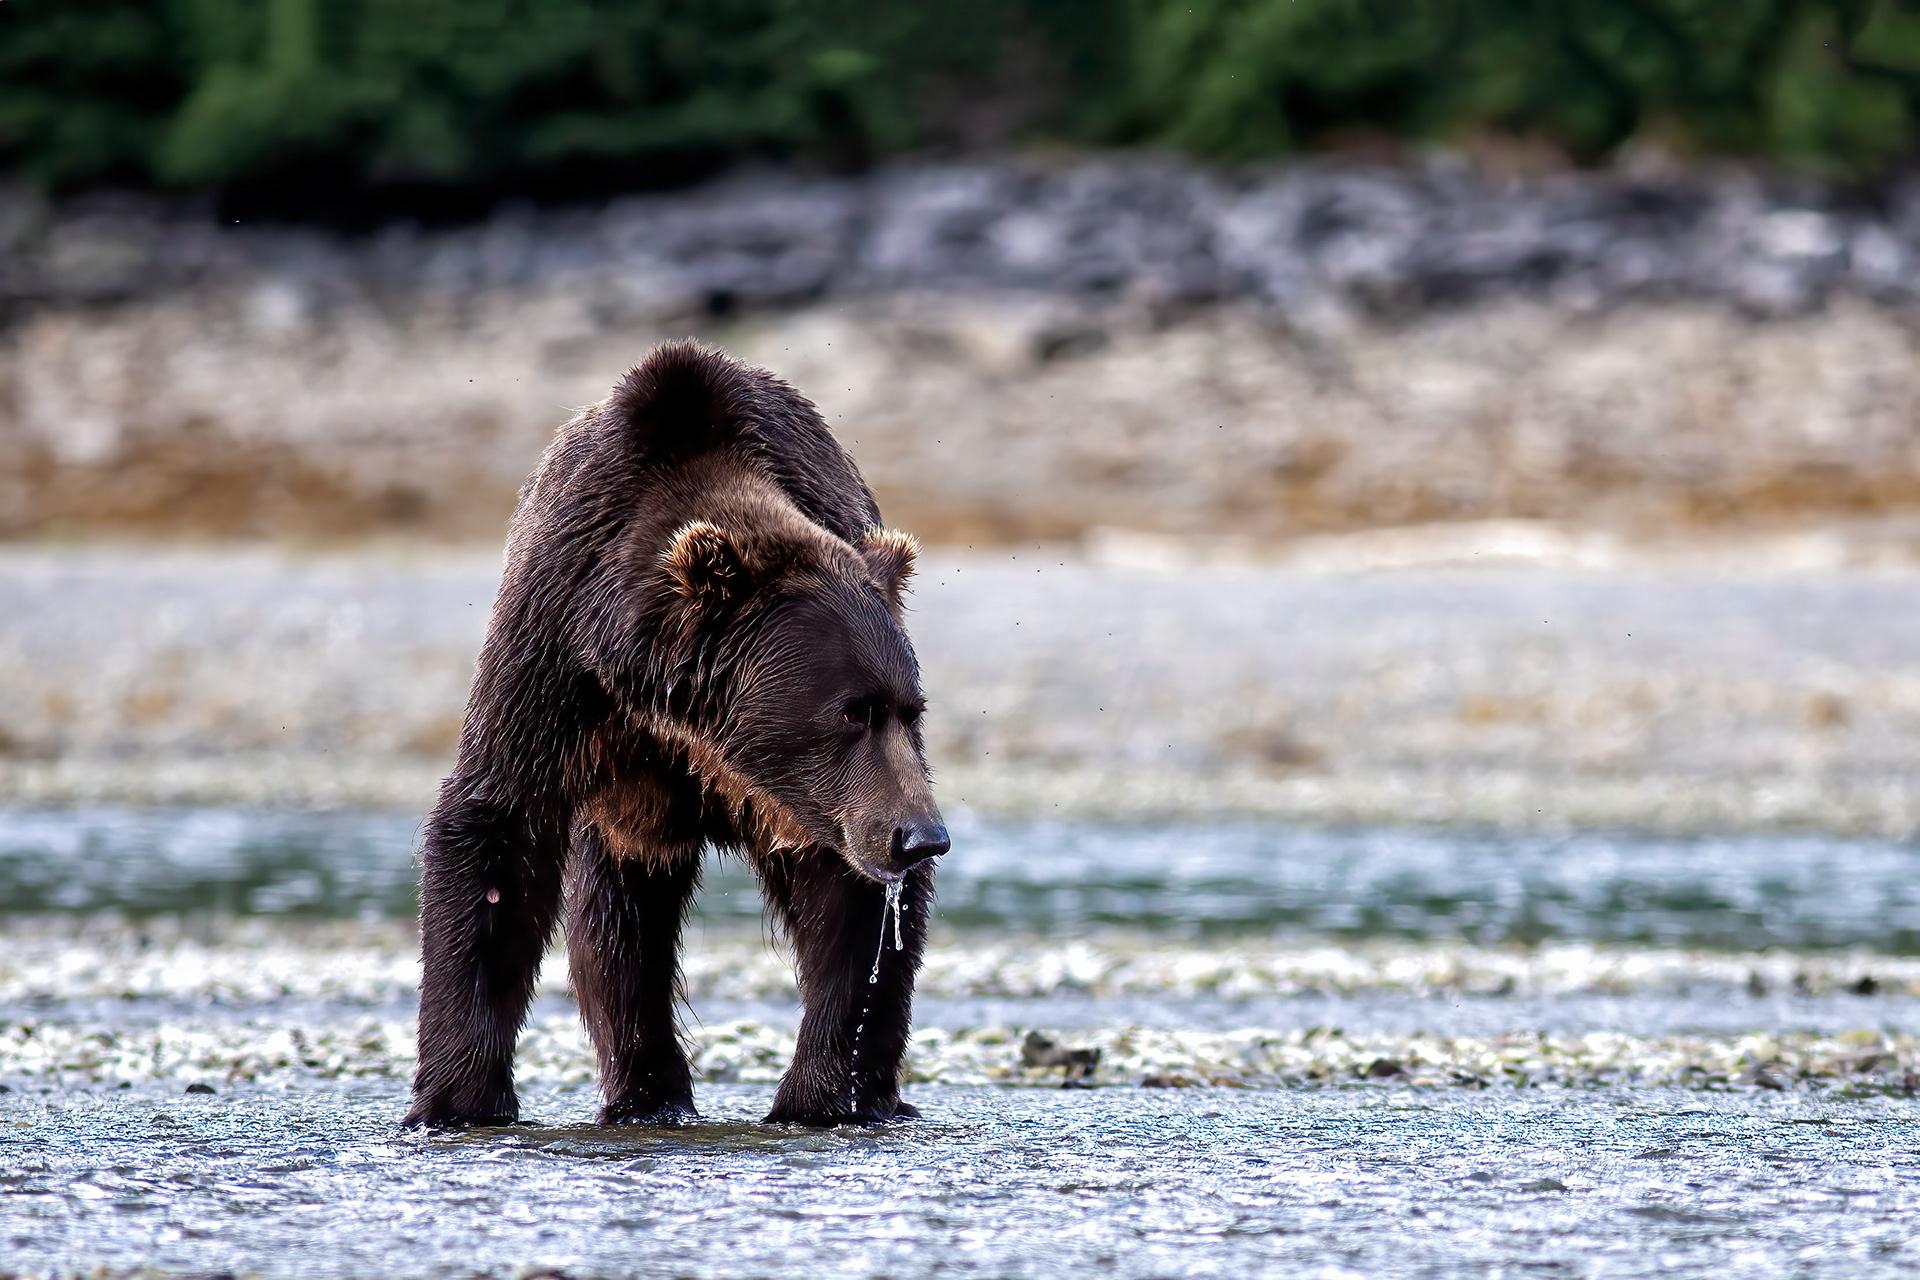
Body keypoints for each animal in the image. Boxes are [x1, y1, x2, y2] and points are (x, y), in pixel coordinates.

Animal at [403, 340, 949, 1130]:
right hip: (624, 812)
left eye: (911, 708)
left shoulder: (826, 803)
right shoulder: (555, 656)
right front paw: (457, 1100)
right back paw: (647, 1096)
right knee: (616, 925)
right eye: (852, 710)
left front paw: (824, 1095)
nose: (921, 836)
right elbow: (498, 835)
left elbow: (851, 911)